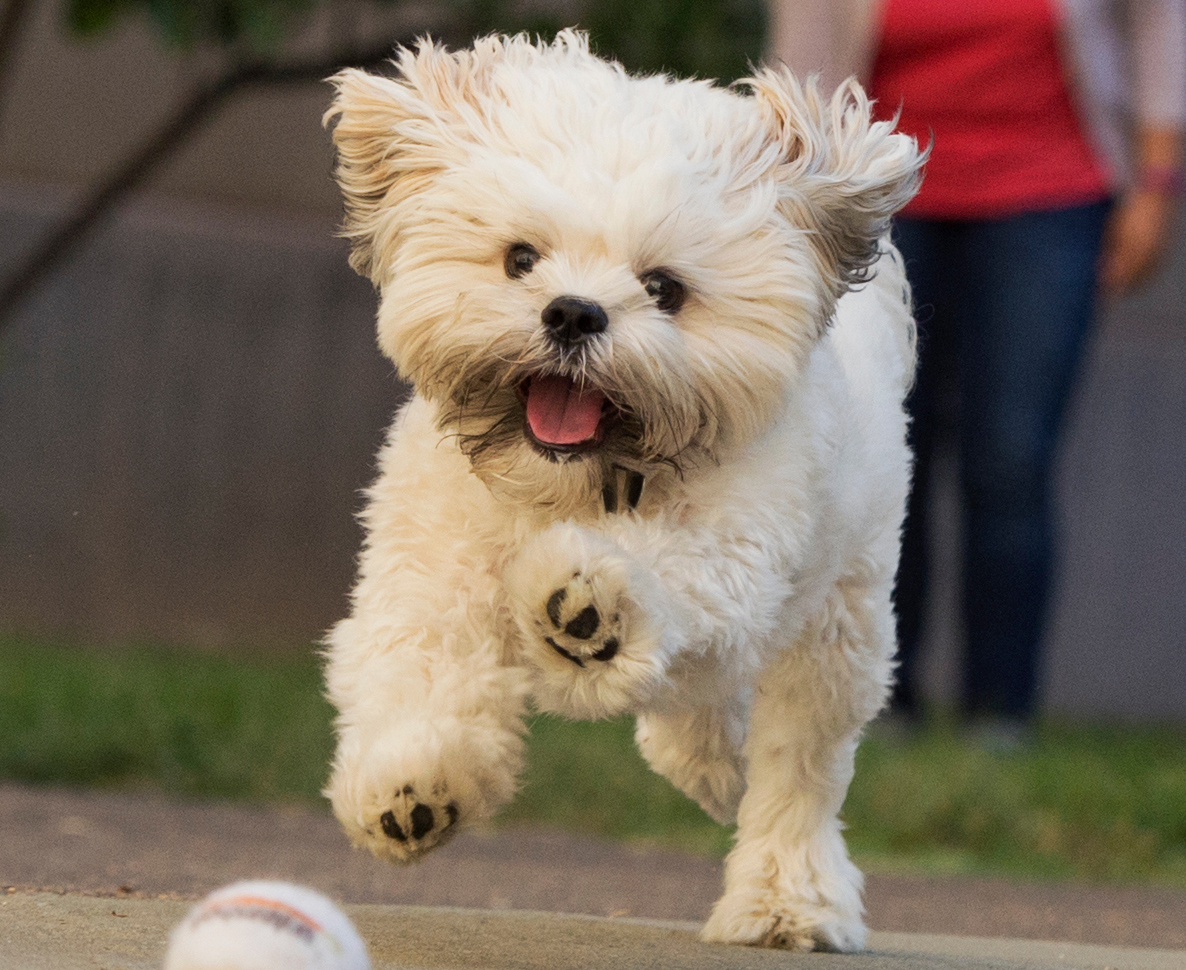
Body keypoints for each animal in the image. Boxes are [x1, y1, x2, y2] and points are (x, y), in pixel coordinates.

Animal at [324, 32, 925, 953]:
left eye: (663, 287)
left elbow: (662, 575)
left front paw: (586, 607)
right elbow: (419, 668)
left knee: (799, 767)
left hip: (839, 620)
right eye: (521, 258)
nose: (573, 313)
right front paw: (414, 787)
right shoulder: (430, 564)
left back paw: (788, 896)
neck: (572, 486)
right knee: (708, 719)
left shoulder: (735, 549)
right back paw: (709, 763)